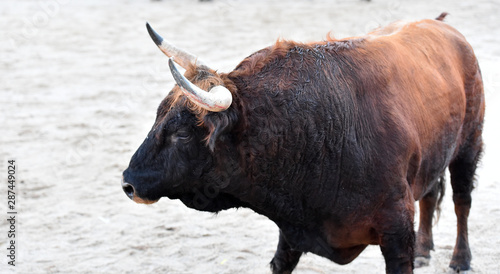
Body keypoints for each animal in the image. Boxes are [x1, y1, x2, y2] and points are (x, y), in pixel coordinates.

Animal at [121, 13, 484, 274]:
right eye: (158, 117)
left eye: (182, 133)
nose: (128, 183)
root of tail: (443, 26)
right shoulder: (291, 234)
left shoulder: (396, 231)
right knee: (431, 193)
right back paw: (424, 249)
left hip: (469, 144)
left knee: (461, 201)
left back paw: (460, 259)